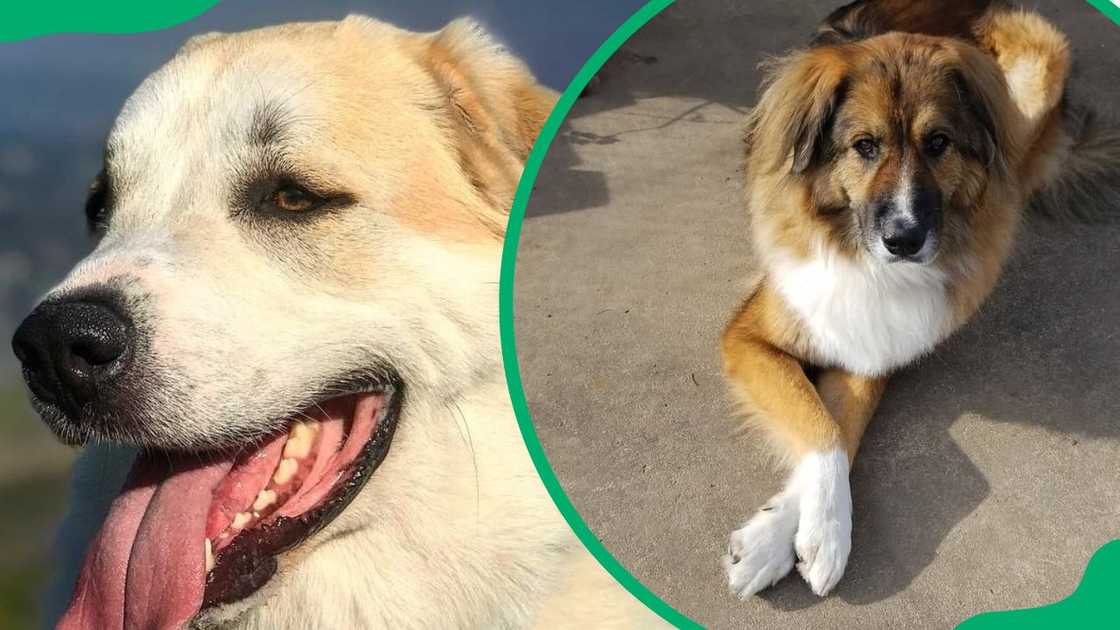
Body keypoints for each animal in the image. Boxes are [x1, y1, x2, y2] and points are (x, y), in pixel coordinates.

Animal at [721, 0, 1115, 596]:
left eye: (938, 143)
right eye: (865, 146)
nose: (904, 241)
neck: (857, 254)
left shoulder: (868, 354)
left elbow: (839, 429)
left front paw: (805, 535)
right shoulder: (750, 336)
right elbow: (820, 424)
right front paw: (796, 535)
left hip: (1041, 64)